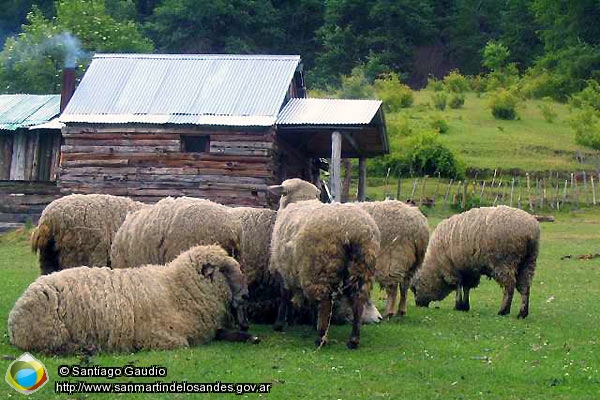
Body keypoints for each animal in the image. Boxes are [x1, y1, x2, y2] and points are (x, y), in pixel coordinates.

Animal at [8, 244, 258, 354]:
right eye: (225, 270)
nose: (247, 295)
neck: (176, 288)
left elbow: (229, 334)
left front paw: (251, 337)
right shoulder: (158, 335)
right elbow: (182, 344)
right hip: (52, 332)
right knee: (51, 349)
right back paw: (87, 348)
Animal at [268, 180, 380, 348]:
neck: (301, 199)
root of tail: (353, 230)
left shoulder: (283, 270)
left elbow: (284, 296)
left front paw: (279, 324)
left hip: (320, 266)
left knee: (325, 301)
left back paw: (321, 336)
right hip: (362, 265)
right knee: (358, 300)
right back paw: (353, 339)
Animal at [412, 206, 540, 318]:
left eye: (414, 289)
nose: (418, 305)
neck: (435, 266)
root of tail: (530, 232)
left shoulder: (452, 268)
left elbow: (458, 286)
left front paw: (458, 305)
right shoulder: (468, 269)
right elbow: (466, 287)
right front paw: (464, 306)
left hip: (504, 261)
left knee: (510, 286)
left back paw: (504, 310)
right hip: (529, 261)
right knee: (525, 286)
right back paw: (522, 313)